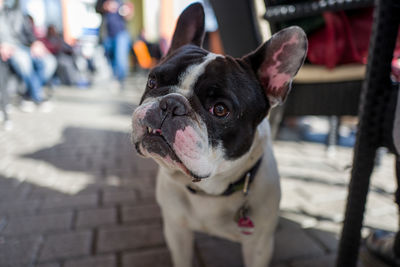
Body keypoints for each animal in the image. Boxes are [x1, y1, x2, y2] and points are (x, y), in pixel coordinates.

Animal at [131, 2, 306, 267]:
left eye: (220, 110)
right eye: (152, 82)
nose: (171, 104)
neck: (210, 191)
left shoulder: (258, 247)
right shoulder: (176, 231)